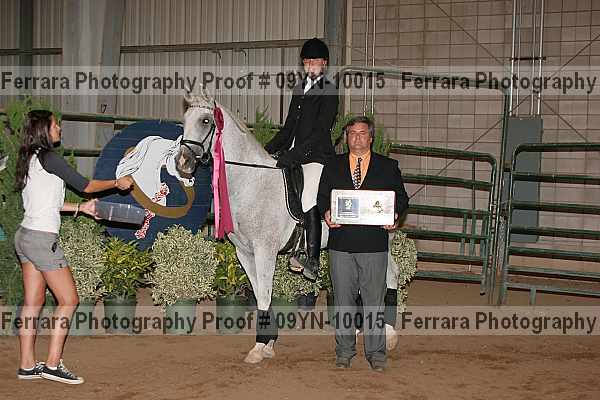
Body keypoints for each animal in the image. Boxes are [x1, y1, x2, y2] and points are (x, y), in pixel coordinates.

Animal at [175, 86, 400, 364]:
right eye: (184, 121)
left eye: (205, 121)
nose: (182, 162)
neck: (253, 182)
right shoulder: (245, 252)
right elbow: (260, 292)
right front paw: (269, 342)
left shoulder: (264, 250)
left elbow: (264, 293)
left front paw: (259, 345)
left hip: (381, 244)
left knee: (391, 276)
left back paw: (388, 335)